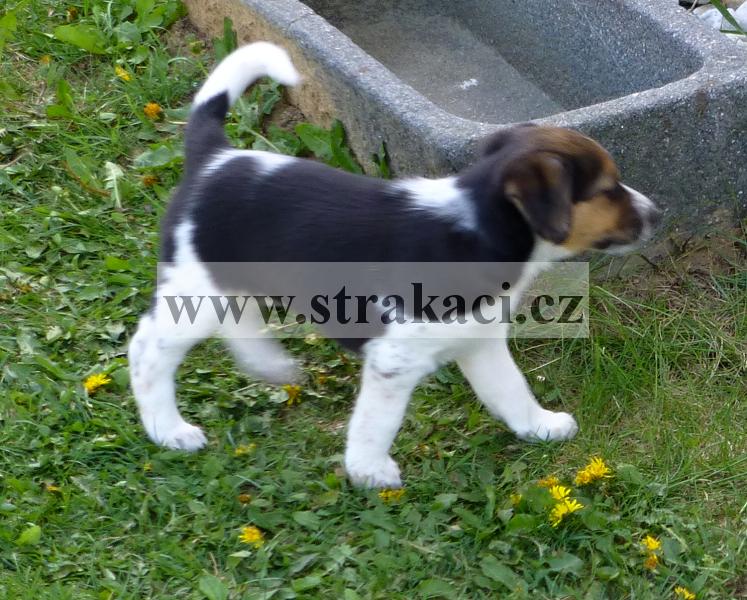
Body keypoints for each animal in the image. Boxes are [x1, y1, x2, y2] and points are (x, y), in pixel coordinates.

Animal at [128, 42, 660, 488]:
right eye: (607, 189)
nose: (656, 214)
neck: (477, 230)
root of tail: (211, 158)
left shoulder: (480, 341)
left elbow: (512, 390)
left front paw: (540, 427)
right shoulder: (393, 361)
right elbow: (376, 424)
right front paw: (369, 472)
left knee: (237, 320)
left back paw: (269, 365)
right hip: (195, 294)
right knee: (147, 351)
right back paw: (169, 429)